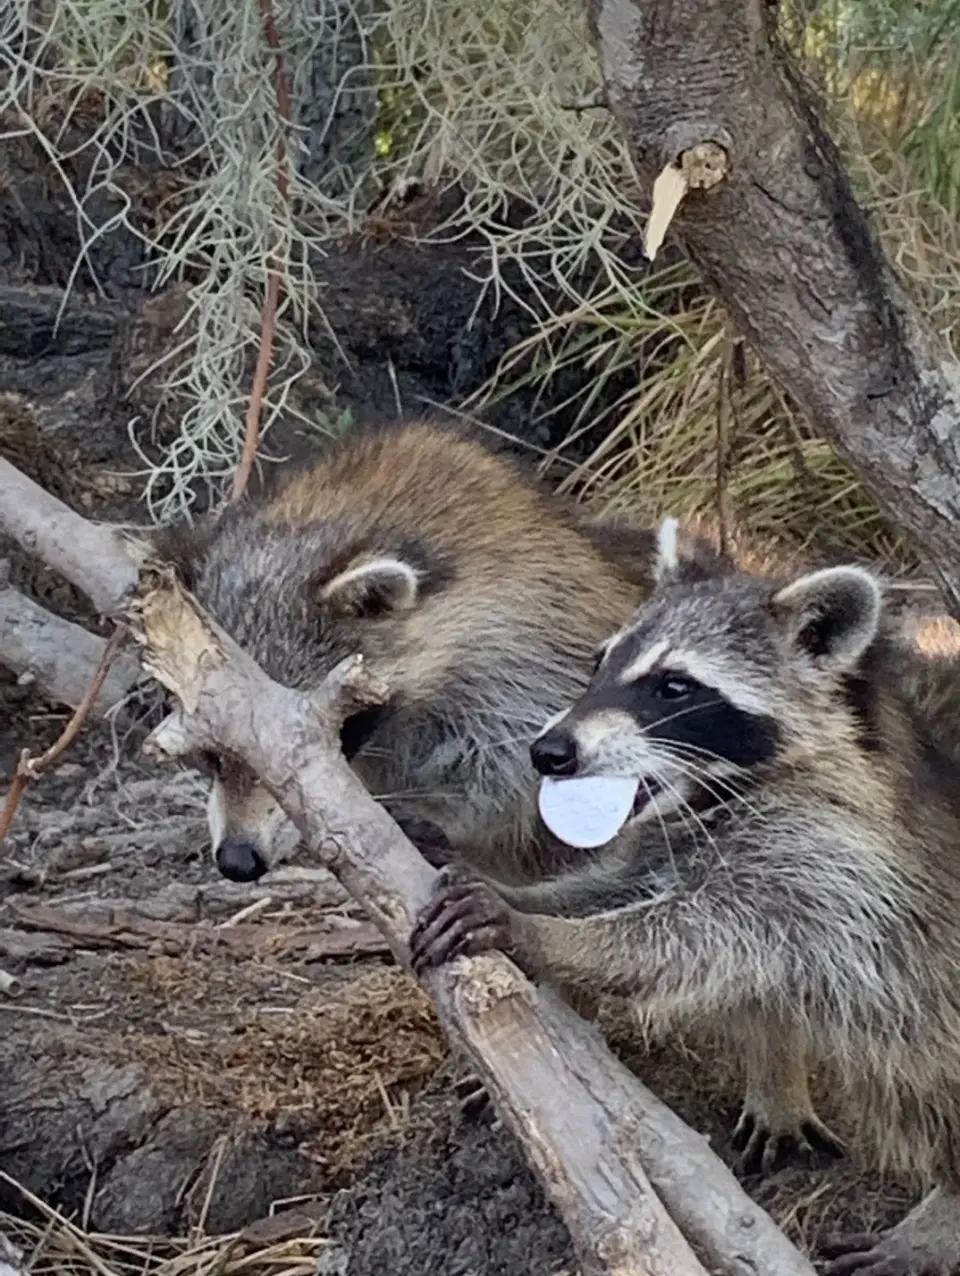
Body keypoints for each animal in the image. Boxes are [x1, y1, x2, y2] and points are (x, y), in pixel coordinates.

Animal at [411, 518, 960, 1275]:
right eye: (600, 665)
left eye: (674, 687)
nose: (548, 752)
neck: (716, 795)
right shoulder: (675, 843)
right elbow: (611, 885)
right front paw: (523, 894)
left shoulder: (829, 866)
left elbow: (694, 939)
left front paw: (534, 931)